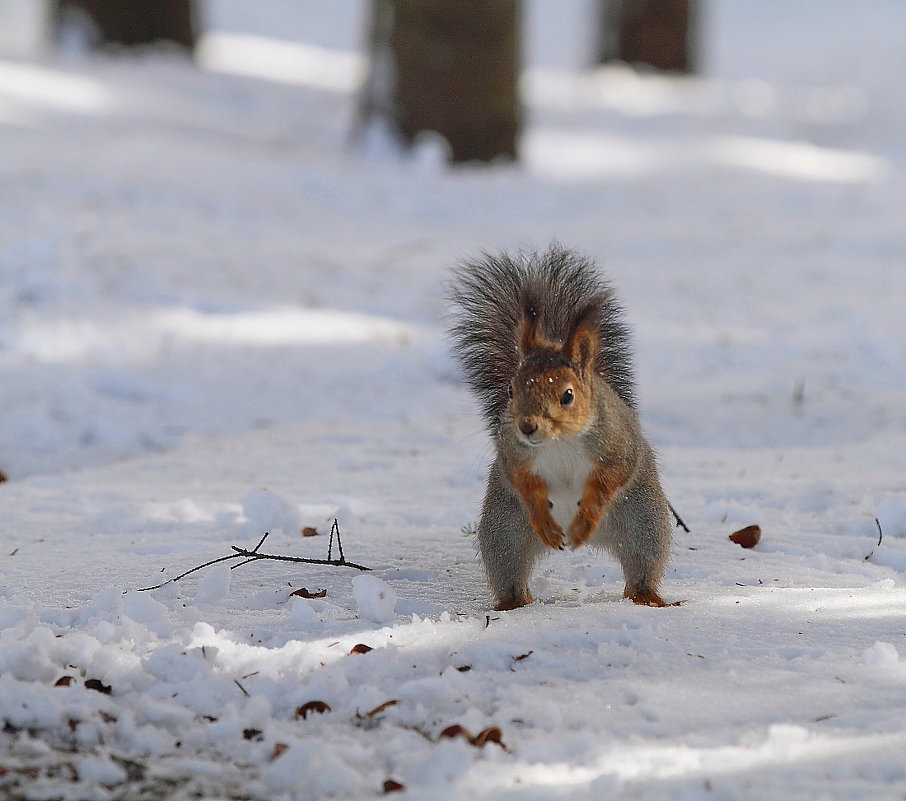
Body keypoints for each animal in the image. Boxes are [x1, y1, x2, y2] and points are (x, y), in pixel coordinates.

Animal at [448, 247, 676, 608]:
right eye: (511, 390)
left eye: (567, 395)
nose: (527, 427)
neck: (559, 440)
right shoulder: (514, 455)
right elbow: (523, 483)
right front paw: (543, 519)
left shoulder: (617, 447)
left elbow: (610, 479)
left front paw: (585, 520)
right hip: (503, 531)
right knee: (510, 571)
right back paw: (513, 602)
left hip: (644, 523)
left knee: (641, 568)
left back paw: (647, 596)